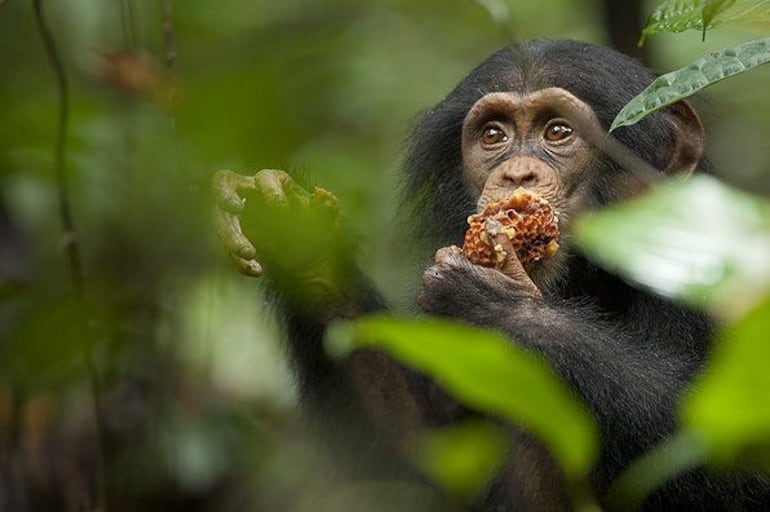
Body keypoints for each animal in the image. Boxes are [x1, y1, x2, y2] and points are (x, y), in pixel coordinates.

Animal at [212, 41, 768, 512]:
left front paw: (496, 304)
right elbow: (426, 462)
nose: (516, 173)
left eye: (557, 132)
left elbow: (734, 446)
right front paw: (295, 234)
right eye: (493, 136)